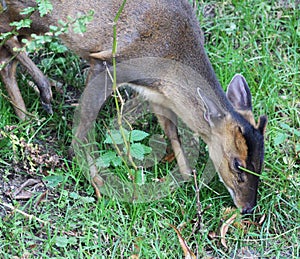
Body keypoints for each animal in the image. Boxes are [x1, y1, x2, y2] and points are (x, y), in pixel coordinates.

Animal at [1, 0, 268, 214]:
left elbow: (171, 130)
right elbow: (86, 123)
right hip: (33, 13)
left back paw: (28, 114)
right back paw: (43, 90)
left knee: (7, 59)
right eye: (237, 164)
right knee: (7, 41)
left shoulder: (158, 95)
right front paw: (95, 180)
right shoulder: (111, 62)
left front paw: (187, 178)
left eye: (261, 163)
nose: (248, 207)